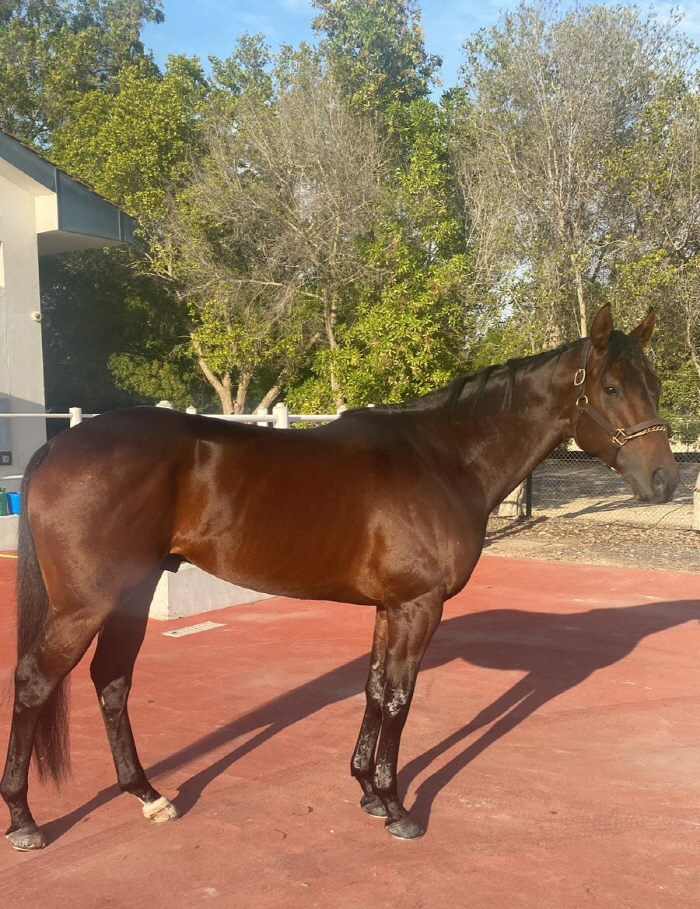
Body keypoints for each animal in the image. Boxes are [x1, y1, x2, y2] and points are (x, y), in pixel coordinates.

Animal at [0, 306, 680, 852]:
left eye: (654, 383)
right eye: (612, 386)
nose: (666, 481)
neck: (443, 458)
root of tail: (57, 448)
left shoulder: (390, 608)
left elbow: (375, 689)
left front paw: (367, 792)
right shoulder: (418, 606)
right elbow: (400, 698)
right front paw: (398, 807)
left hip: (131, 596)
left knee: (111, 681)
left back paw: (148, 795)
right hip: (85, 606)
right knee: (35, 682)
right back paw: (25, 820)